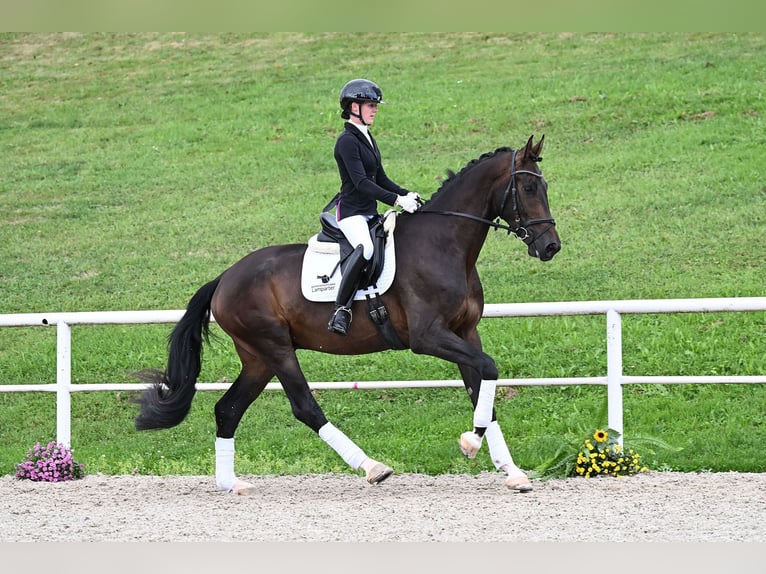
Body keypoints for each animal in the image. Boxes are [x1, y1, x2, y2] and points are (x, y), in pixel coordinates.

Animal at [135, 135, 560, 496]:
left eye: (544, 187)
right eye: (527, 189)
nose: (550, 247)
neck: (444, 243)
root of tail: (224, 278)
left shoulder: (466, 333)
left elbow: (482, 386)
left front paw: (511, 471)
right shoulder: (429, 337)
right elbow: (488, 369)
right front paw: (471, 443)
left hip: (257, 358)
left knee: (227, 410)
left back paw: (231, 484)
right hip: (275, 348)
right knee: (305, 407)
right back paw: (373, 467)